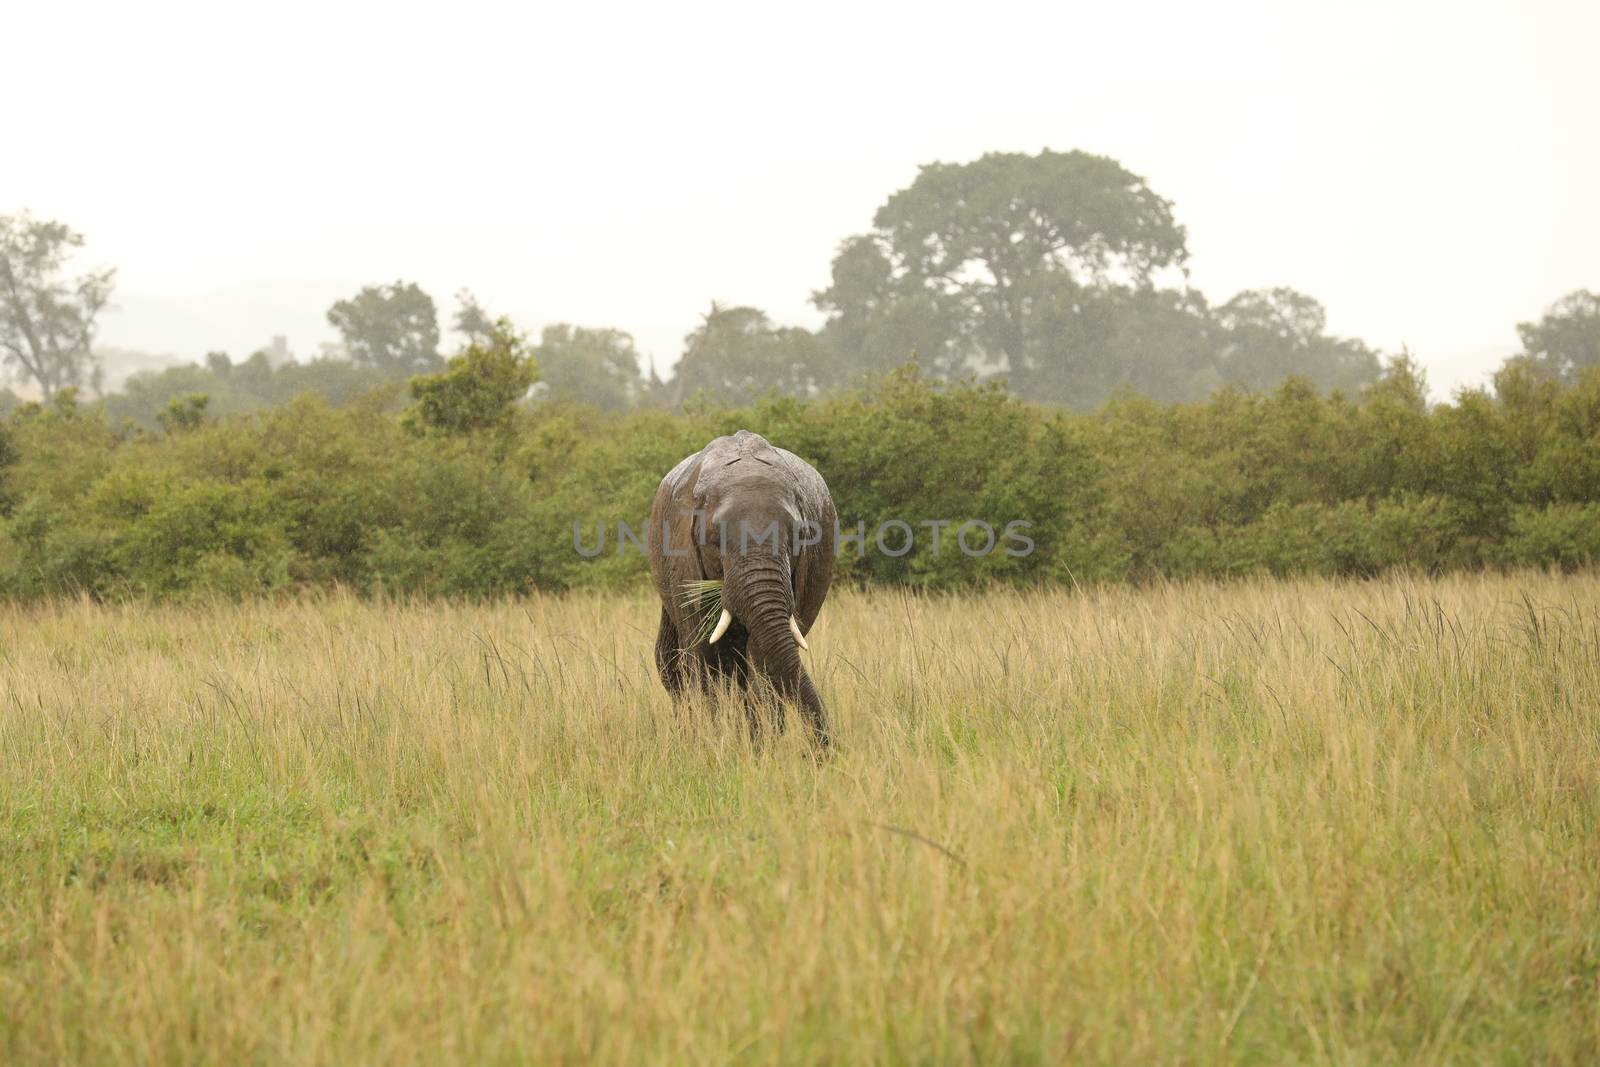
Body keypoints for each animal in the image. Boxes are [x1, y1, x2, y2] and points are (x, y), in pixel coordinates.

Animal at [646, 428, 838, 748]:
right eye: (714, 538)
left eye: (799, 536)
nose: (824, 749)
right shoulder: (682, 559)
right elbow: (702, 654)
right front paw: (712, 743)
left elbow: (761, 658)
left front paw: (758, 744)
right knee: (671, 661)